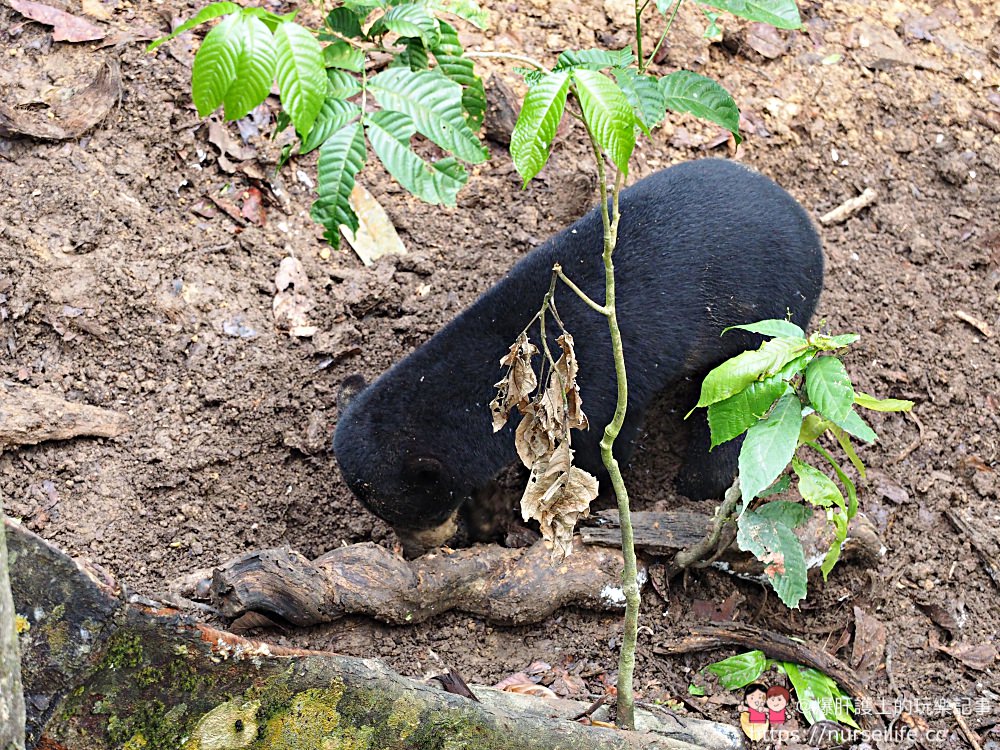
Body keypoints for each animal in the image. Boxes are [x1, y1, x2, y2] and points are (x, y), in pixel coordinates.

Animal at [332, 159, 824, 556]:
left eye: (415, 513)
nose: (417, 550)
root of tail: (808, 227)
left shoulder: (600, 386)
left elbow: (602, 449)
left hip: (768, 318)